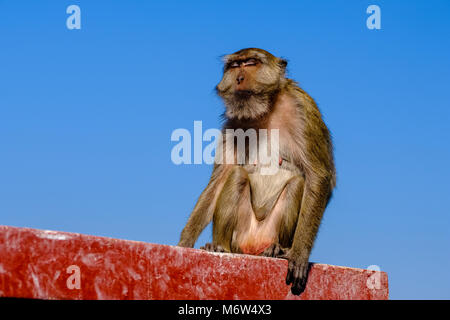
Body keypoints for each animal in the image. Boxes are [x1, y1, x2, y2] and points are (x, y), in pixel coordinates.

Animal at [178, 47, 336, 296]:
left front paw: (299, 255)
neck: (265, 109)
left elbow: (318, 175)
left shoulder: (303, 106)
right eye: (235, 66)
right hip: (241, 236)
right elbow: (220, 180)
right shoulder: (231, 125)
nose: (239, 78)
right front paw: (184, 244)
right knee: (236, 176)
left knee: (296, 184)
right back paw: (219, 246)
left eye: (251, 63)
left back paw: (275, 250)